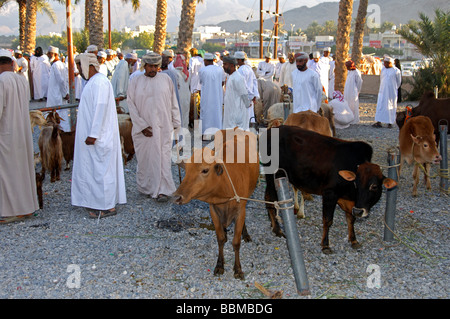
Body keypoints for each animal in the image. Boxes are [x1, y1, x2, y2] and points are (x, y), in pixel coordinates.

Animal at [173, 129, 258, 282]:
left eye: (205, 170)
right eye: (186, 169)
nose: (177, 197)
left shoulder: (240, 209)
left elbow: (236, 242)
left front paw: (238, 269)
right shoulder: (213, 210)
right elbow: (220, 239)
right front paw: (219, 265)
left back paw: (246, 234)